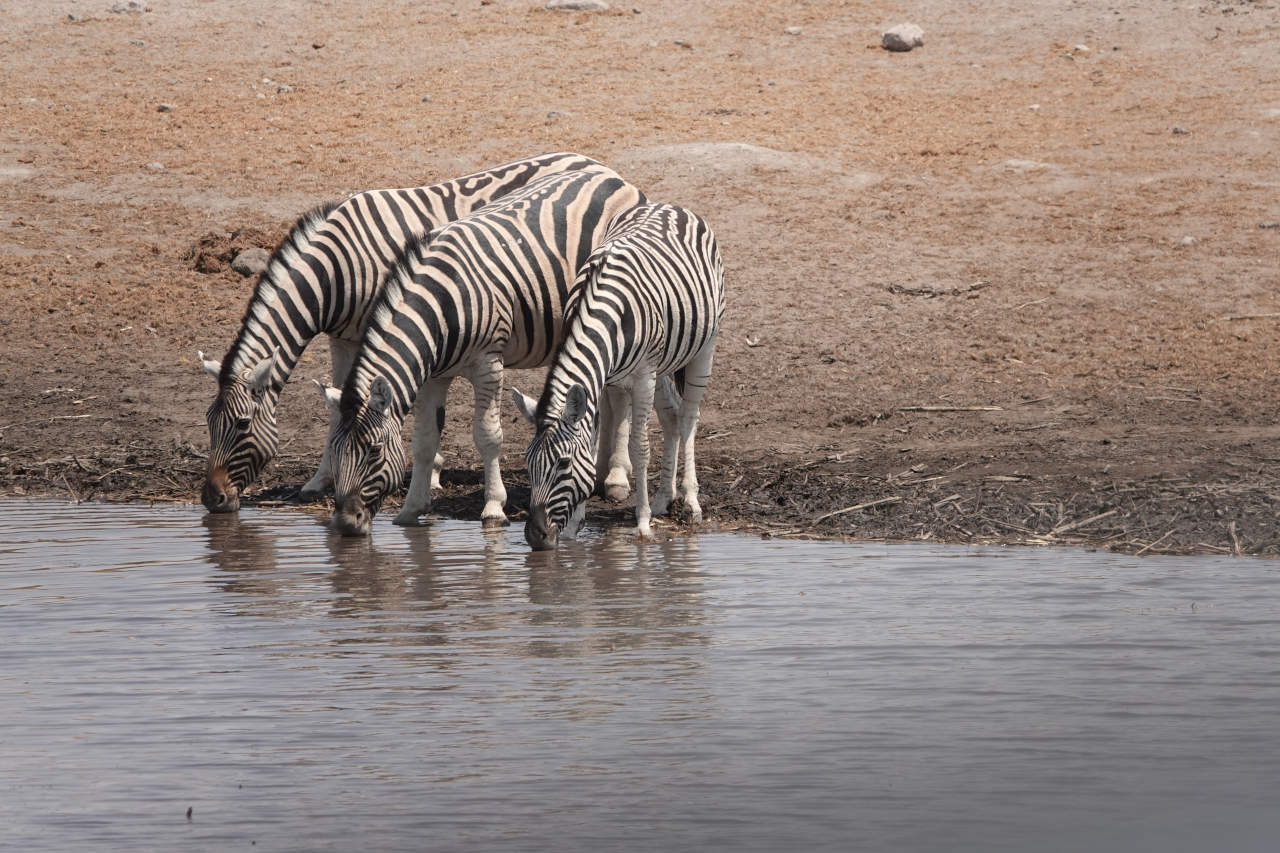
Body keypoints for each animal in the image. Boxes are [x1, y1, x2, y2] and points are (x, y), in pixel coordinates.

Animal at [197, 151, 617, 514]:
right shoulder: (344, 338)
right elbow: (337, 410)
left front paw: (433, 476)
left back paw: (612, 475)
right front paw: (320, 480)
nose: (211, 499)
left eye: (242, 425)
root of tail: (592, 162)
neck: (337, 268)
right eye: (208, 422)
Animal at [324, 164, 647, 536]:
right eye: (335, 452)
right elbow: (424, 441)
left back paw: (616, 478)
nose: (346, 523)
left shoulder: (488, 363)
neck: (441, 303)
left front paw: (494, 507)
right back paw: (599, 469)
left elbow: (488, 436)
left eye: (374, 452)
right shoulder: (434, 375)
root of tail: (612, 175)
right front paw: (411, 510)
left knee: (618, 395)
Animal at [511, 203, 724, 550]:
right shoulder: (604, 377)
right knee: (672, 416)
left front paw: (643, 524)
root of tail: (671, 206)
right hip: (662, 365)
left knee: (689, 417)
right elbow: (591, 441)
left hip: (704, 346)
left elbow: (640, 447)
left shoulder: (644, 374)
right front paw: (574, 528)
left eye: (563, 464)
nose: (535, 536)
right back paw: (663, 499)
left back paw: (691, 503)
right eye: (529, 464)